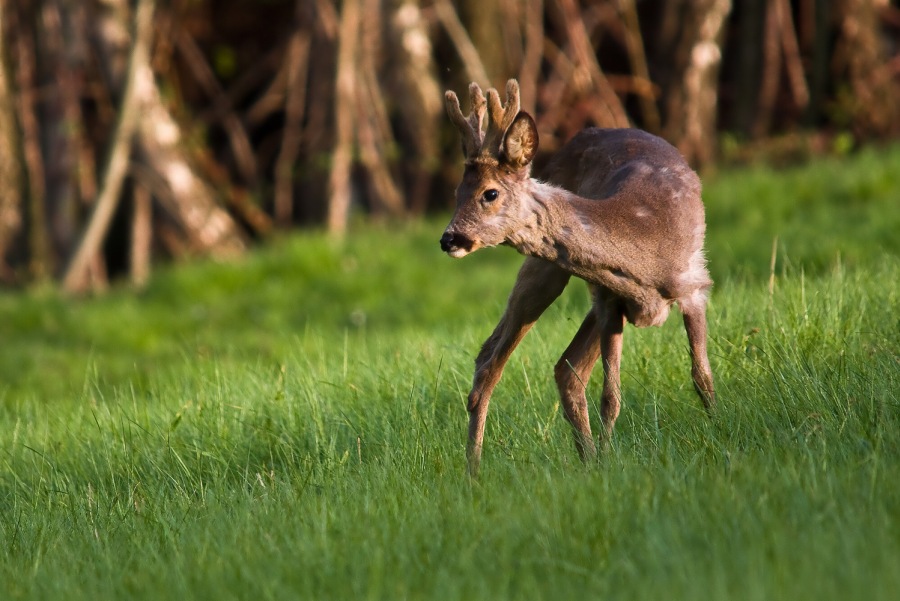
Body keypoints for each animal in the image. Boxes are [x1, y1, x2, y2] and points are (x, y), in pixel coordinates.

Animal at [439, 80, 716, 475]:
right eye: (456, 193)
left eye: (489, 193)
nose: (449, 238)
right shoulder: (608, 301)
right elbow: (611, 396)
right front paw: (608, 459)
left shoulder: (694, 284)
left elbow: (702, 376)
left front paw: (720, 429)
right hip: (546, 270)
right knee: (492, 360)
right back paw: (475, 471)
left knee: (564, 368)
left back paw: (583, 459)